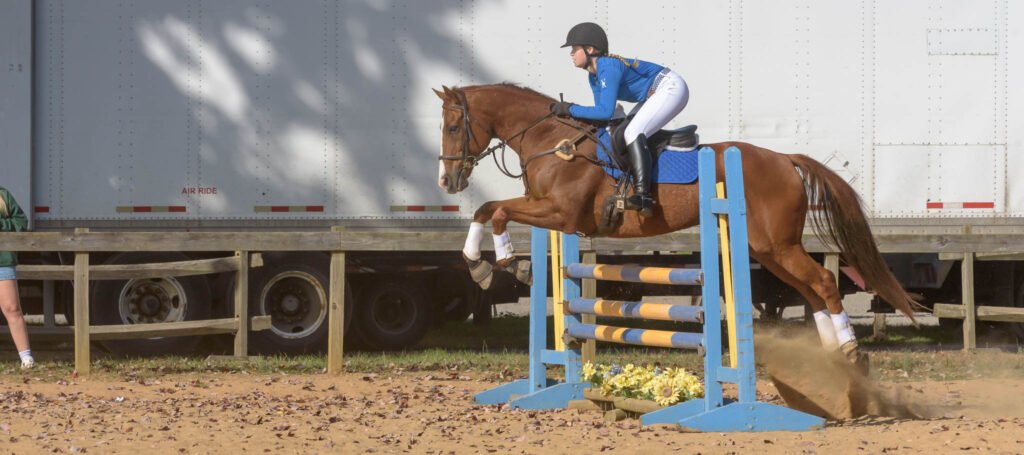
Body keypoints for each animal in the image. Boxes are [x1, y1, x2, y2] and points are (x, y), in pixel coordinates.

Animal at [432, 83, 921, 364]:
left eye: (454, 127)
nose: (447, 181)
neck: (551, 140)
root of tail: (784, 158)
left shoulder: (561, 213)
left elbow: (496, 211)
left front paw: (502, 263)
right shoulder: (543, 208)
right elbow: (487, 209)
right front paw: (481, 263)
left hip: (777, 246)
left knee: (821, 282)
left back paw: (849, 350)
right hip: (767, 250)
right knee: (811, 289)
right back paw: (835, 355)